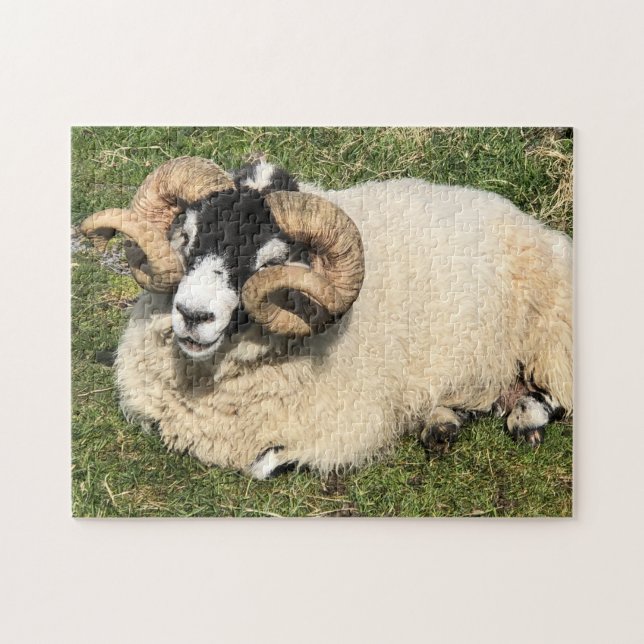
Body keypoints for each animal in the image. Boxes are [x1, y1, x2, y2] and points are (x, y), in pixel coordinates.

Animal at [81, 156, 572, 479]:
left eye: (271, 262)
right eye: (187, 236)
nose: (192, 314)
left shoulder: (348, 427)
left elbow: (262, 464)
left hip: (552, 337)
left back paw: (523, 416)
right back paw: (443, 422)